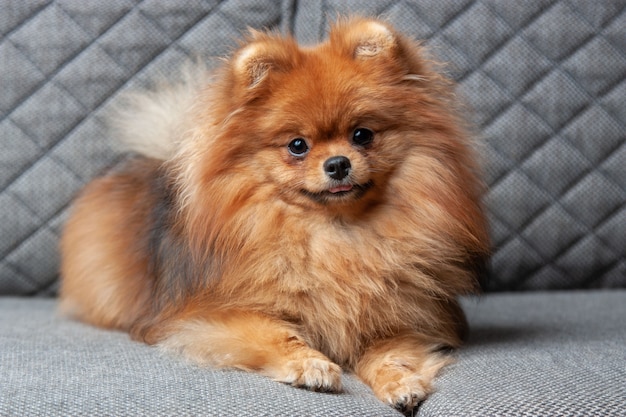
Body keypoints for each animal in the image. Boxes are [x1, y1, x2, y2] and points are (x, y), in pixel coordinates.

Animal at [59, 17, 488, 412]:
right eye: (297, 145)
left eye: (362, 135)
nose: (338, 163)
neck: (335, 236)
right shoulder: (212, 315)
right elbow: (276, 333)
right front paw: (311, 365)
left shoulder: (403, 315)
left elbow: (390, 352)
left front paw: (400, 382)